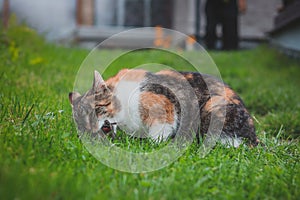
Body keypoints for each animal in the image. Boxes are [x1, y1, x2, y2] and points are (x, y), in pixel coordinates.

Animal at [69, 69, 258, 147]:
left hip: (212, 107)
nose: (92, 131)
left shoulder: (164, 106)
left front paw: (153, 145)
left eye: (95, 111)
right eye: (82, 126)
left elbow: (160, 130)